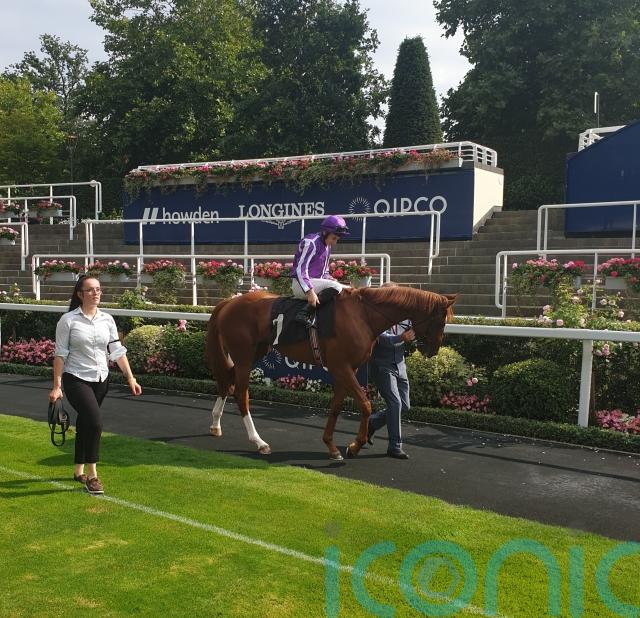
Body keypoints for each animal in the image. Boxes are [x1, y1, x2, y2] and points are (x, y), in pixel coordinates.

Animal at [205, 286, 456, 460]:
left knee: (227, 381)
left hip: (256, 351)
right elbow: (365, 404)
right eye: (442, 321)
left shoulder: (348, 368)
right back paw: (259, 442)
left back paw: (216, 425)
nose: (433, 350)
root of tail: (229, 302)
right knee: (241, 393)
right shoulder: (341, 366)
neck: (363, 316)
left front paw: (332, 446)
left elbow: (336, 406)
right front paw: (355, 445)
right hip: (244, 356)